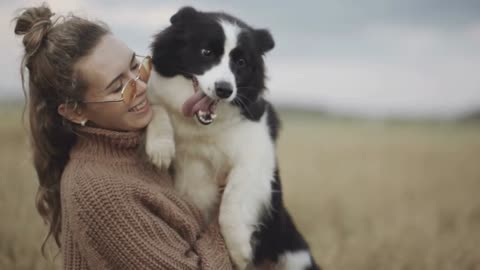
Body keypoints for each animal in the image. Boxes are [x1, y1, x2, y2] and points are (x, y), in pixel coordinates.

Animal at [145, 6, 318, 270]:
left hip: (296, 257)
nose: (224, 90)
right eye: (206, 52)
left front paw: (239, 252)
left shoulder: (256, 153)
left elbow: (232, 200)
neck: (202, 125)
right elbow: (156, 106)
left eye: (241, 62)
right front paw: (160, 148)